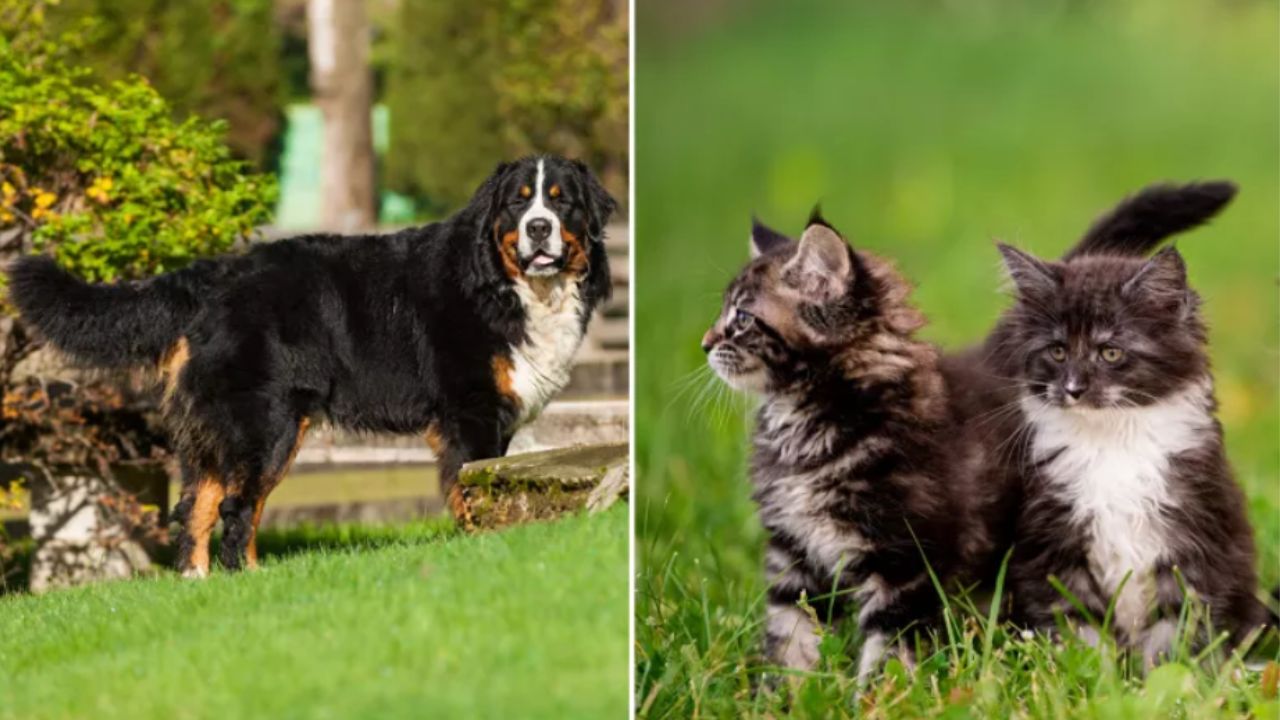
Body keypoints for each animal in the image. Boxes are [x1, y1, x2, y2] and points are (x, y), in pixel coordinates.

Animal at [5, 154, 614, 573]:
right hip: (267, 425)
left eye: (560, 201)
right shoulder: (472, 413)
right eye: (518, 202)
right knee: (236, 509)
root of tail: (212, 272)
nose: (539, 227)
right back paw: (248, 581)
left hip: (224, 431)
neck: (506, 286)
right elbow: (475, 485)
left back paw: (199, 584)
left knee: (197, 507)